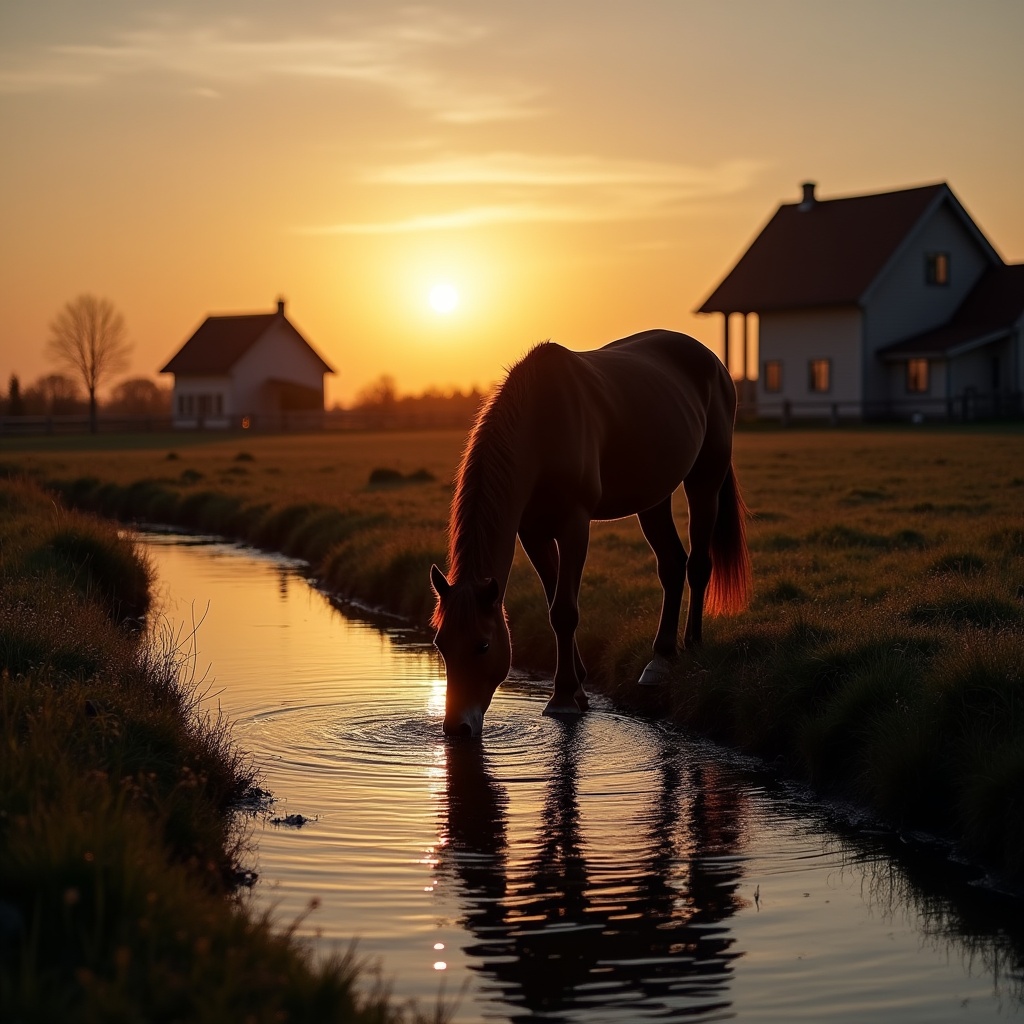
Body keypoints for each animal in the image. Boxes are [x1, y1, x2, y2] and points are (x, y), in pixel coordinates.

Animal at [430, 329, 751, 738]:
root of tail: (714, 363)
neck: (541, 425)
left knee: (697, 565)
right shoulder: (533, 533)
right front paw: (578, 688)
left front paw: (564, 698)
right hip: (653, 497)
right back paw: (660, 660)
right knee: (671, 565)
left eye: (483, 646)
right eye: (441, 644)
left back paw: (692, 646)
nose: (457, 727)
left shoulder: (574, 526)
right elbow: (554, 604)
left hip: (705, 482)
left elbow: (565, 610)